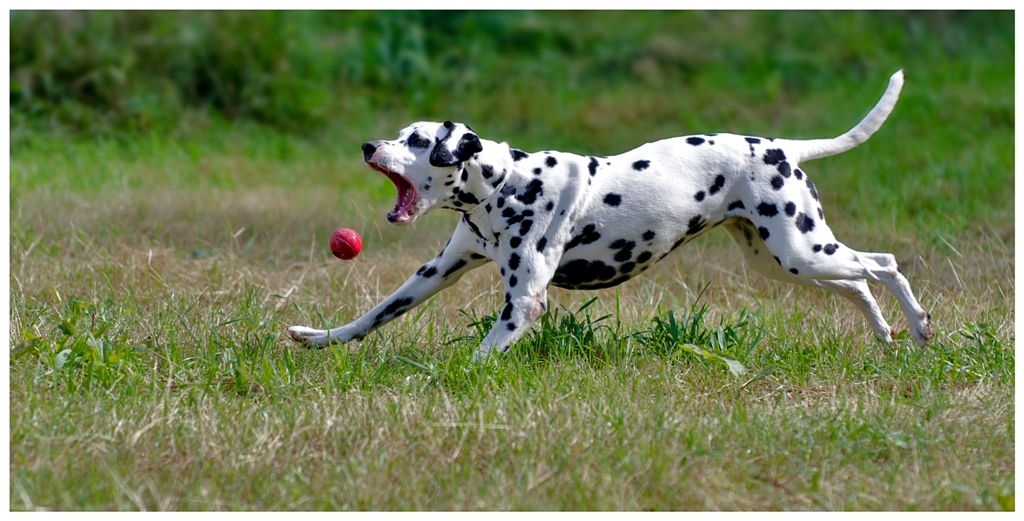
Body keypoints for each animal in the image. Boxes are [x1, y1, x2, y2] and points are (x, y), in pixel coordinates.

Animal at [286, 70, 929, 358]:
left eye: (418, 141)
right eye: (399, 134)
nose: (369, 146)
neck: (504, 186)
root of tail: (781, 147)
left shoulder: (524, 302)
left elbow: (480, 353)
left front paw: (448, 377)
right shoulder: (435, 273)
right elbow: (372, 316)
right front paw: (317, 337)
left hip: (801, 251)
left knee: (883, 263)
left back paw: (920, 325)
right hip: (787, 261)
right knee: (859, 282)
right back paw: (886, 333)